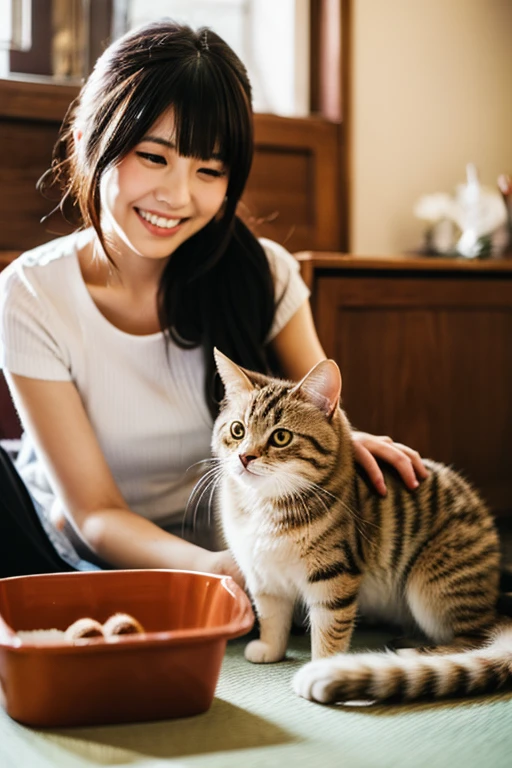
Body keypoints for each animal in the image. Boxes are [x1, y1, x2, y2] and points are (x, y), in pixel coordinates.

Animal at [209, 348, 512, 704]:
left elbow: (329, 629)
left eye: (281, 437)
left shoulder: (334, 575)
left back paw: (413, 655)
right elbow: (272, 618)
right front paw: (269, 649)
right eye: (237, 430)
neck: (263, 505)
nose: (245, 457)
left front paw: (324, 664)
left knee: (472, 638)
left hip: (431, 587)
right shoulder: (263, 576)